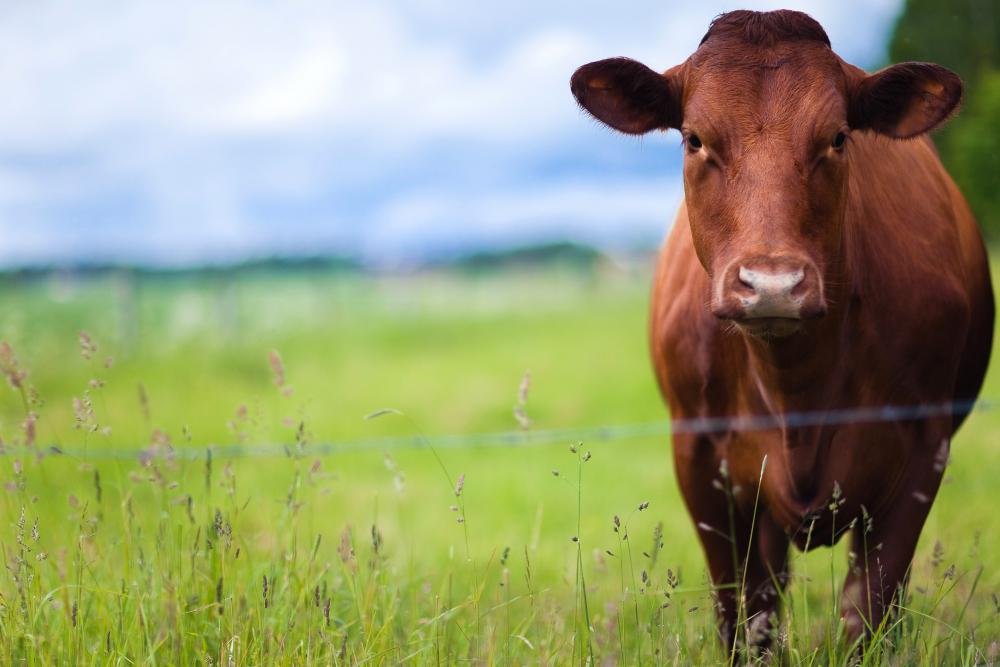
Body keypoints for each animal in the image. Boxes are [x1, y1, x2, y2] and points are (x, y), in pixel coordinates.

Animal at [571, 9, 994, 652]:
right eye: (694, 139)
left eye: (838, 137)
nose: (772, 284)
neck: (797, 392)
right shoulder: (699, 458)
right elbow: (744, 618)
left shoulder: (925, 447)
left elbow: (868, 613)